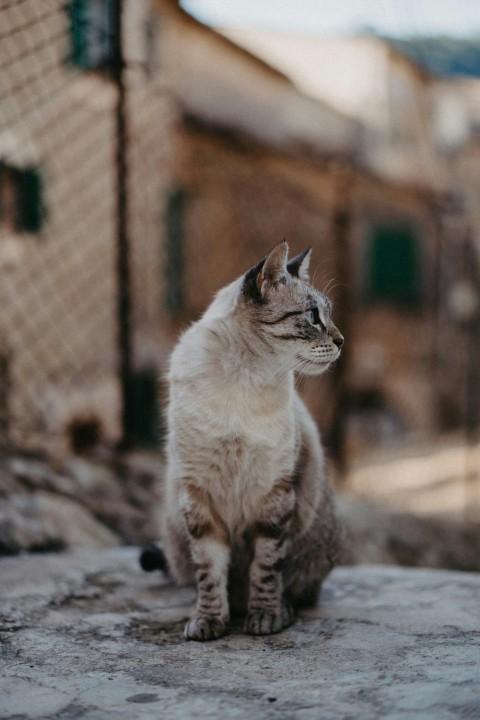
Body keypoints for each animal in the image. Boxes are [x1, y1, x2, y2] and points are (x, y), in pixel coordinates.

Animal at [148, 242, 344, 640]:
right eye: (313, 316)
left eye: (328, 315)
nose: (342, 341)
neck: (243, 378)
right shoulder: (199, 494)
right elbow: (210, 572)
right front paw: (209, 621)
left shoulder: (273, 496)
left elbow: (265, 568)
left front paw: (264, 618)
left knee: (300, 589)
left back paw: (279, 609)